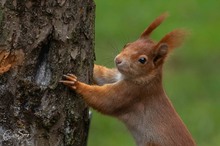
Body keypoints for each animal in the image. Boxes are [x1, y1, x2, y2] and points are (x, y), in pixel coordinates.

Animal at [59, 13, 196, 146]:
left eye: (142, 60)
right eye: (127, 45)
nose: (118, 60)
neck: (147, 79)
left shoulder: (133, 93)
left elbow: (105, 100)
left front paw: (76, 83)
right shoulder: (116, 76)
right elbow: (103, 75)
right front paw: (94, 69)